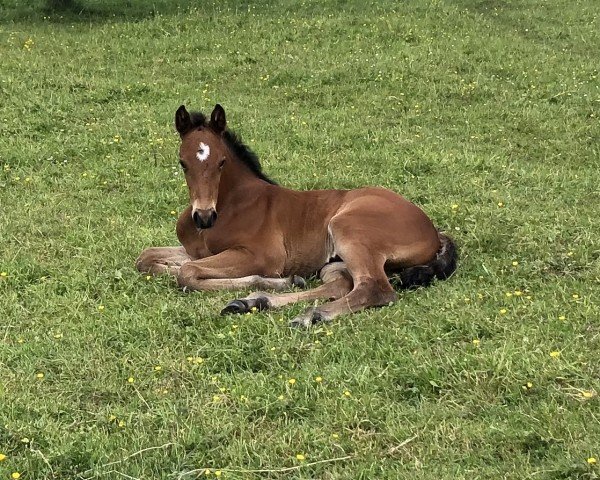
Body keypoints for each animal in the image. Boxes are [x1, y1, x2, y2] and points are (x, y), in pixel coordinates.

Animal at [136, 105, 458, 328]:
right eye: (183, 163)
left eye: (222, 162)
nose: (203, 216)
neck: (229, 205)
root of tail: (433, 229)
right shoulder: (195, 251)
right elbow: (147, 259)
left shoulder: (261, 256)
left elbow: (187, 273)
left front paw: (271, 281)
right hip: (335, 262)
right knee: (341, 284)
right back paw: (253, 302)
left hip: (347, 228)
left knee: (375, 289)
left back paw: (310, 315)